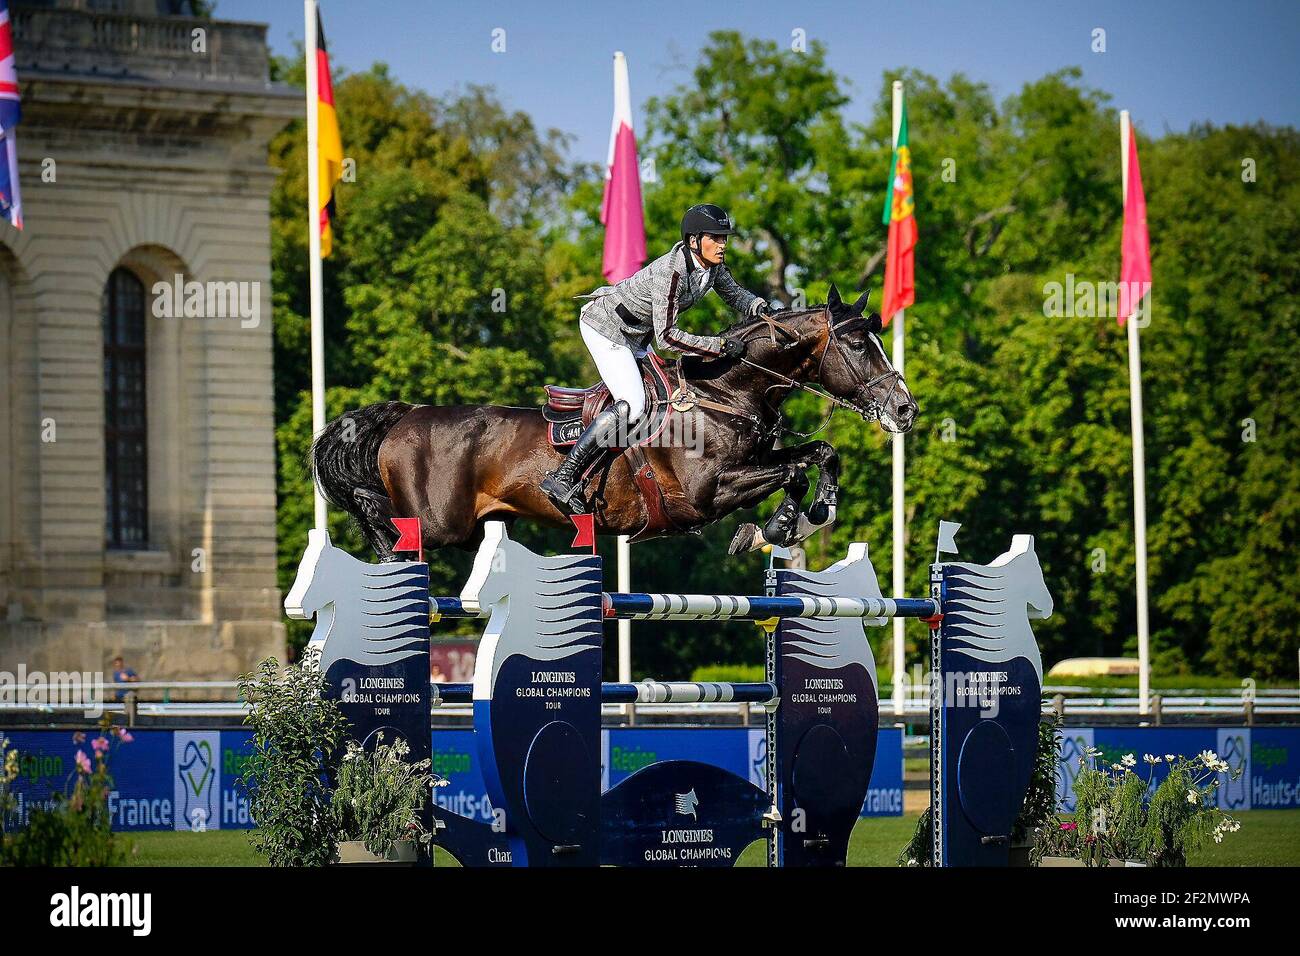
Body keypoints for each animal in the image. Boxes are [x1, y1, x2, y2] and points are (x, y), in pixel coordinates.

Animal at [313, 287, 915, 564]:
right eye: (858, 343)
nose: (905, 409)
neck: (721, 393)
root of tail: (407, 415)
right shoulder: (706, 493)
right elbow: (792, 470)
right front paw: (778, 526)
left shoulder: (753, 463)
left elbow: (819, 454)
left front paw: (807, 517)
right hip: (438, 524)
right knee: (386, 530)